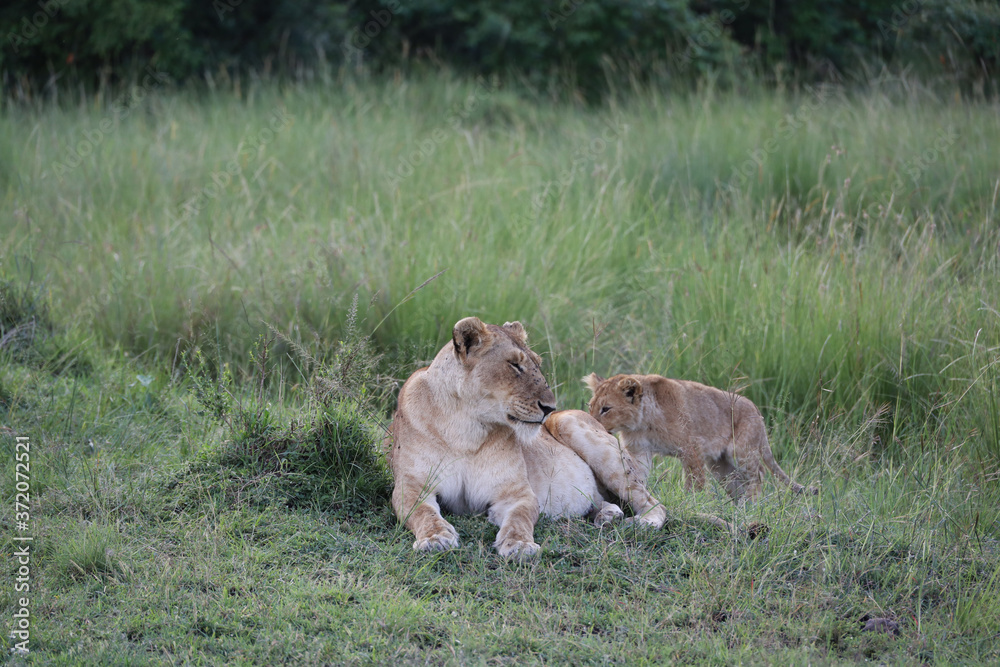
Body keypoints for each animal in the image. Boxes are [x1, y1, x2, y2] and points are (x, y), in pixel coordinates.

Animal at [387, 318, 667, 558]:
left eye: (537, 363)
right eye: (514, 364)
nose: (550, 407)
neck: (467, 429)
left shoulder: (518, 493)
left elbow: (519, 520)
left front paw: (519, 546)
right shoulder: (411, 487)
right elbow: (424, 513)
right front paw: (435, 539)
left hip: (576, 429)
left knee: (654, 503)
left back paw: (639, 522)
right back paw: (606, 515)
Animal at [584, 373, 817, 502]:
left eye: (606, 409)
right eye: (591, 406)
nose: (591, 420)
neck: (642, 423)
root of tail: (757, 411)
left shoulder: (691, 448)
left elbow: (694, 482)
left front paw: (690, 502)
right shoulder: (639, 449)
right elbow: (636, 473)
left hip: (741, 451)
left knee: (758, 474)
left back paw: (752, 505)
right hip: (719, 465)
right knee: (737, 481)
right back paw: (740, 508)